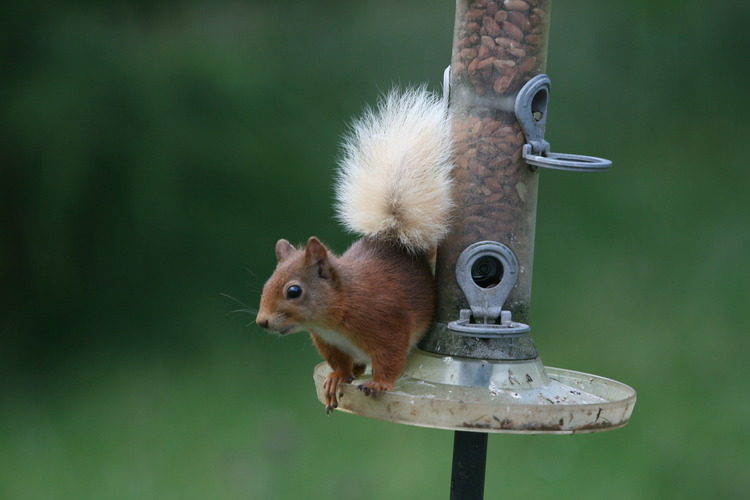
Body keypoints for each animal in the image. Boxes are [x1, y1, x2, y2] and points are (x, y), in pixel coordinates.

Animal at [258, 89, 456, 414]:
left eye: (294, 291)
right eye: (266, 285)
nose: (262, 321)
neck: (335, 314)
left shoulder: (387, 326)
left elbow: (390, 359)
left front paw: (380, 384)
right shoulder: (329, 343)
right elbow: (340, 364)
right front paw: (337, 378)